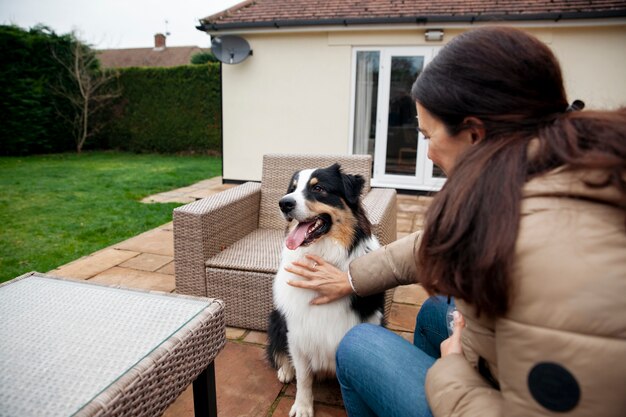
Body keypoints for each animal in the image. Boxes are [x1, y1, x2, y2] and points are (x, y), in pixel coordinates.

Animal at [266, 162, 382, 416]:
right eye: (292, 189)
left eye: (318, 188)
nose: (284, 203)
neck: (323, 255)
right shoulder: (297, 332)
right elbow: (304, 377)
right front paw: (302, 406)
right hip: (277, 318)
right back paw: (285, 370)